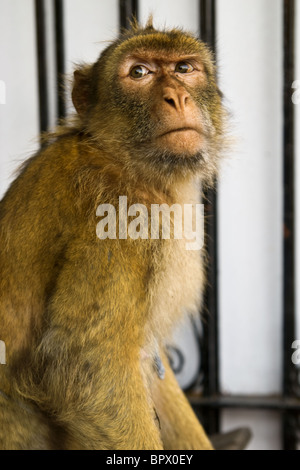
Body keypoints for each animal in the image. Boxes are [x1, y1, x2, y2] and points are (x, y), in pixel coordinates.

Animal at [0, 20, 225, 450]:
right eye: (139, 72)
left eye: (184, 68)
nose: (177, 97)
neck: (126, 163)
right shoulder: (121, 219)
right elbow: (87, 368)